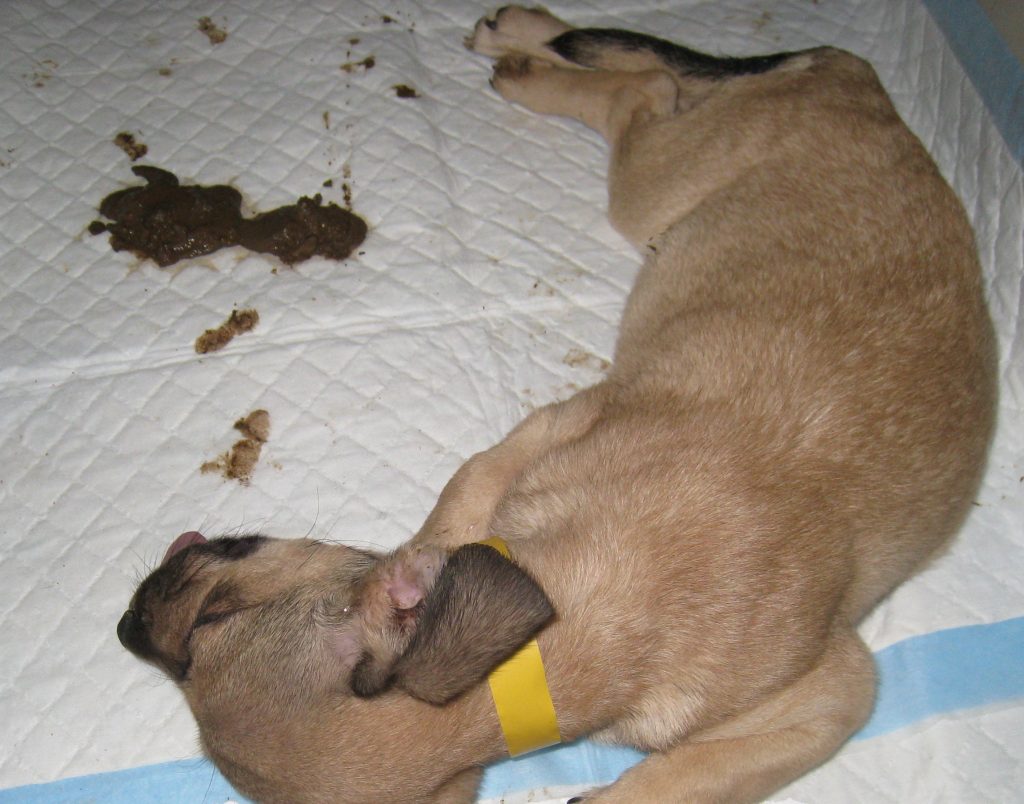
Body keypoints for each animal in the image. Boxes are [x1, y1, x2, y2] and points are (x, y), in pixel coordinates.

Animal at [117, 7, 991, 802]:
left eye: (208, 625)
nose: (127, 628)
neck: (577, 623)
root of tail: (865, 86)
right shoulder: (543, 442)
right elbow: (455, 512)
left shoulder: (835, 694)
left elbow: (691, 778)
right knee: (655, 72)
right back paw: (521, 35)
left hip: (658, 179)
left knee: (645, 88)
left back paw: (528, 65)